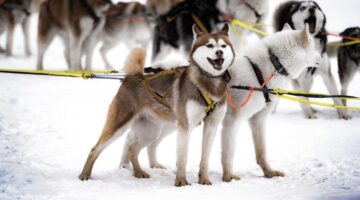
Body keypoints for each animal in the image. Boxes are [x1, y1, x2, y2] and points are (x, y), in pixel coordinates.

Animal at [79, 24, 236, 186]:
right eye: (209, 45)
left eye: (223, 45)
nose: (219, 52)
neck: (209, 84)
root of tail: (133, 76)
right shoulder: (185, 126)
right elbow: (182, 157)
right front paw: (181, 181)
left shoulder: (212, 125)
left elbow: (205, 157)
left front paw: (204, 180)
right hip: (119, 125)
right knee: (95, 149)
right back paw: (85, 175)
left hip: (151, 130)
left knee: (132, 148)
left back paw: (138, 172)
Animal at [222, 24, 320, 182]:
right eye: (314, 47)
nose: (321, 57)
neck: (259, 72)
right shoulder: (232, 122)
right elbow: (228, 153)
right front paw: (228, 176)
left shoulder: (258, 120)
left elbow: (261, 153)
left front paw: (269, 172)